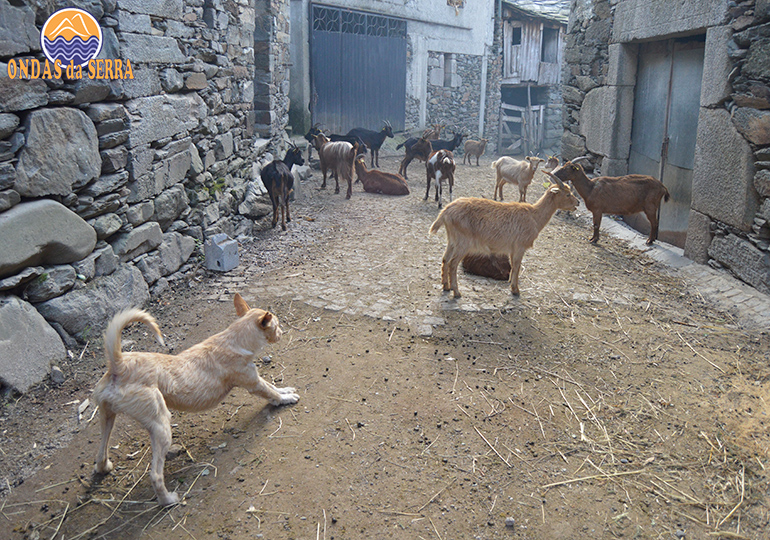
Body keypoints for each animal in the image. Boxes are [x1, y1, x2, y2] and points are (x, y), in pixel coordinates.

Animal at [429, 174, 579, 297]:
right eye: (567, 194)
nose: (577, 203)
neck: (534, 216)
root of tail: (446, 212)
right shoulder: (519, 247)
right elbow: (517, 266)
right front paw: (516, 290)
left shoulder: (512, 249)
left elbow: (513, 266)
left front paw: (511, 285)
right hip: (463, 242)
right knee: (453, 263)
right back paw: (456, 292)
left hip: (452, 240)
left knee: (445, 259)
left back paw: (446, 286)